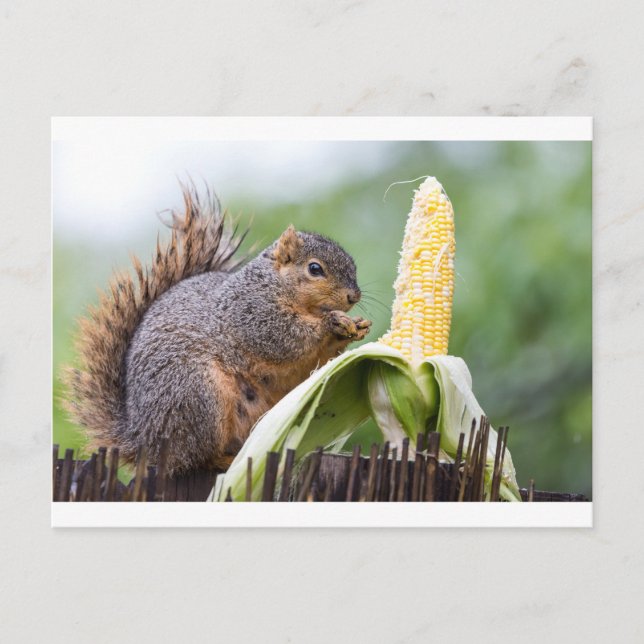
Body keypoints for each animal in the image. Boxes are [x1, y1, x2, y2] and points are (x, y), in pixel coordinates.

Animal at [63, 183, 371, 475]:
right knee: (195, 458)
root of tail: (144, 441)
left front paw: (355, 327)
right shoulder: (250, 313)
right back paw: (226, 460)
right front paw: (331, 323)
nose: (353, 296)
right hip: (196, 396)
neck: (276, 285)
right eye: (315, 269)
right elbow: (283, 338)